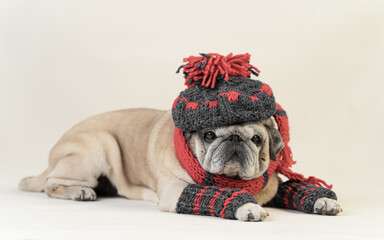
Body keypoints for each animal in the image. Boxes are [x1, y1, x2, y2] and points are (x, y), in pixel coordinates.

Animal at [18, 109, 342, 221]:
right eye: (209, 135)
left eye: (256, 139)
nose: (235, 138)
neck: (233, 180)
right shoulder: (177, 191)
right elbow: (219, 197)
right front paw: (246, 206)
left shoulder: (270, 187)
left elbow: (292, 189)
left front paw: (322, 199)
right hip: (98, 146)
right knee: (51, 184)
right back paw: (78, 192)